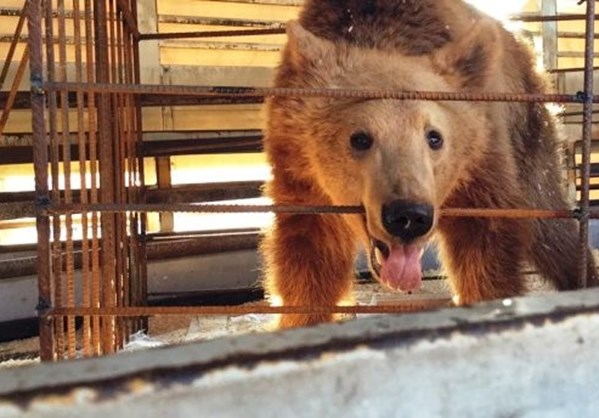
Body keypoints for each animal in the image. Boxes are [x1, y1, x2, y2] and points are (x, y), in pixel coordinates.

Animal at [262, 0, 599, 328]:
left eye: (434, 137)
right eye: (359, 138)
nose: (409, 216)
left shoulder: (482, 166)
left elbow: (487, 255)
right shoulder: (301, 177)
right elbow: (307, 262)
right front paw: (300, 319)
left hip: (529, 136)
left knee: (552, 228)